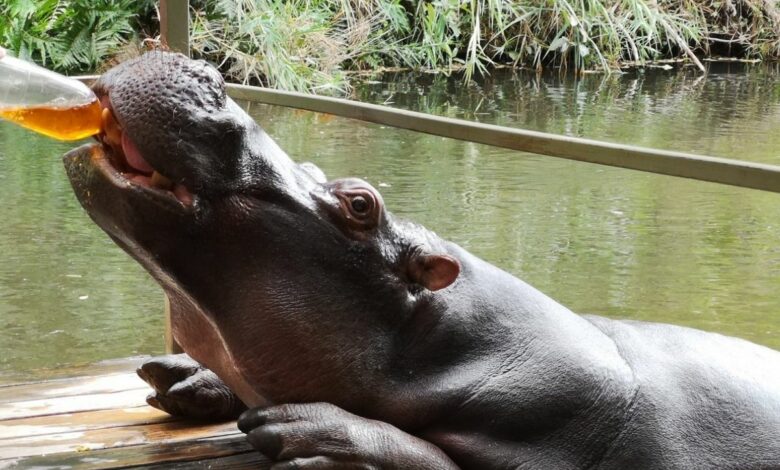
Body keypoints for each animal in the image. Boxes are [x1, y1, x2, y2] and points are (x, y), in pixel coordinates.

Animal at [63, 52, 780, 469]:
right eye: (320, 169)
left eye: (359, 204)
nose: (208, 74)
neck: (451, 345)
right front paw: (185, 377)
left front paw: (311, 435)